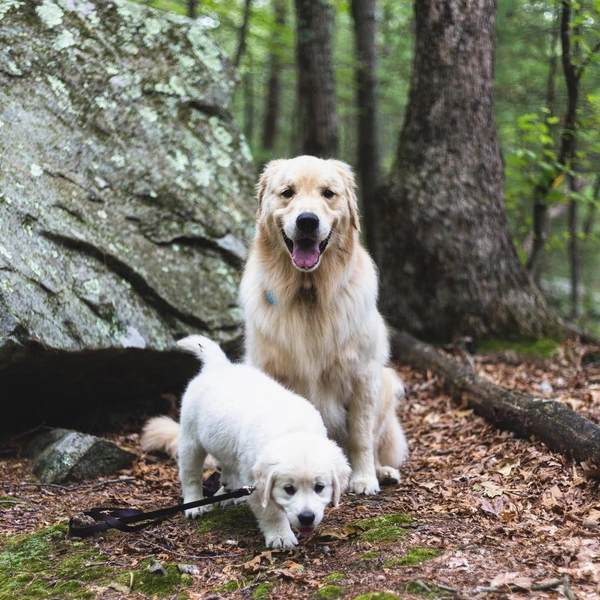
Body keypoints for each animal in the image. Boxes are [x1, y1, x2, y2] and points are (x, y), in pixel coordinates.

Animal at [142, 336, 352, 552]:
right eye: (288, 489)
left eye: (319, 487)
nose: (307, 517)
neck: (292, 431)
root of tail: (219, 366)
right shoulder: (257, 484)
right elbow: (271, 512)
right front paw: (280, 536)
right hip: (190, 440)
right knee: (190, 474)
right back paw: (196, 504)